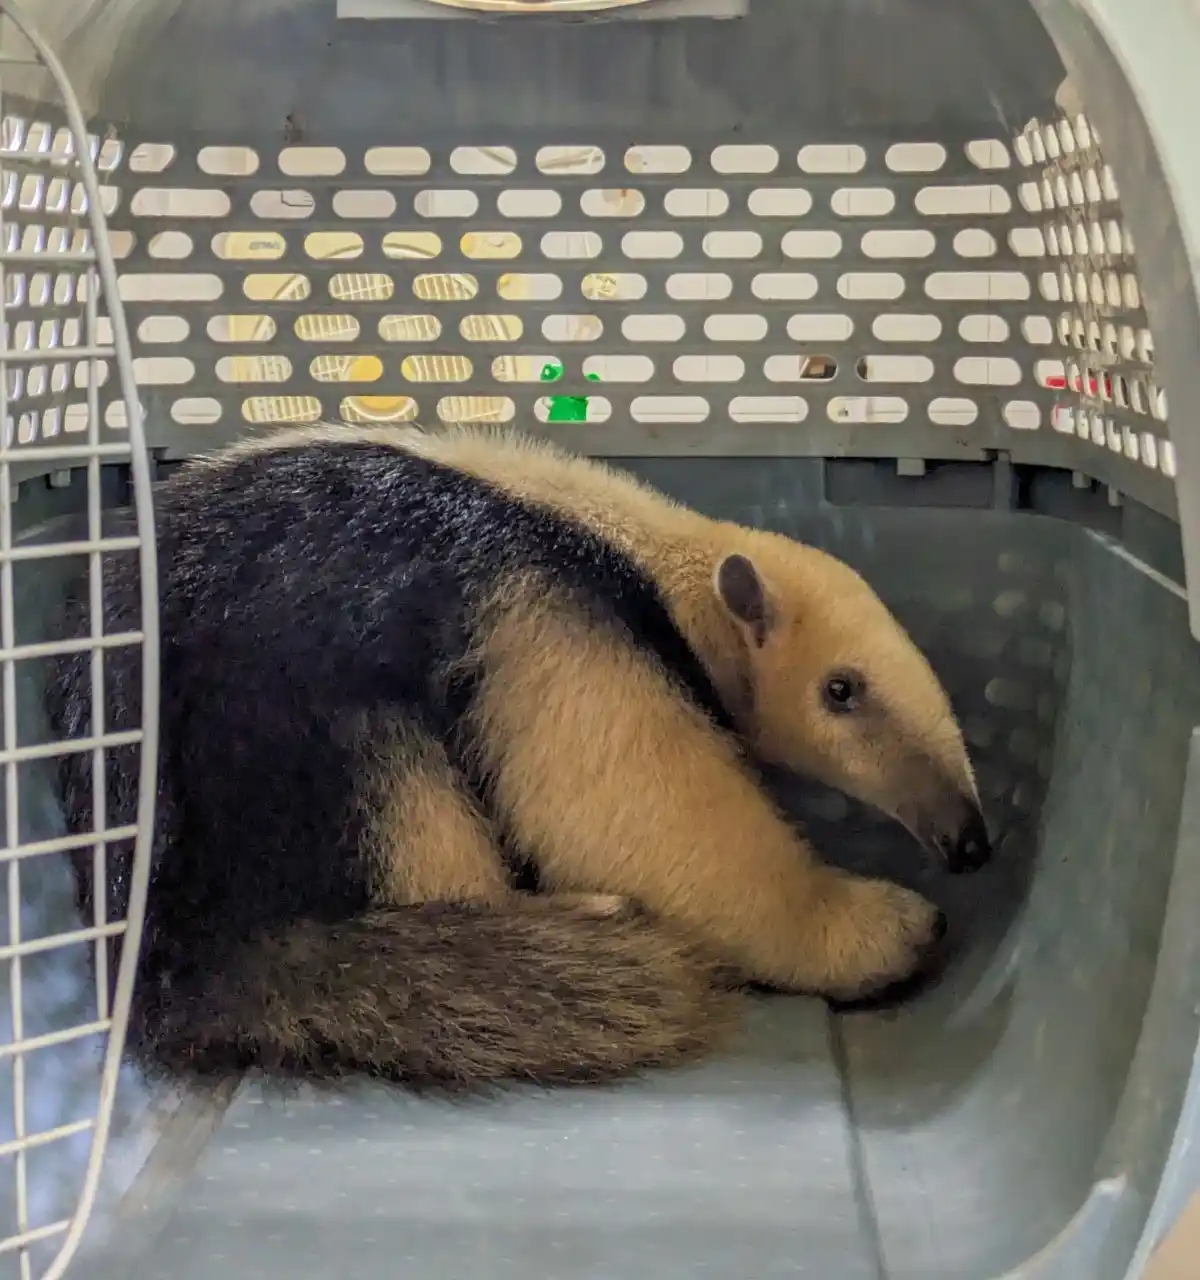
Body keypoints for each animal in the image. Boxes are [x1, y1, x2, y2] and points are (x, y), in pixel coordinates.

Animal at [46, 424, 991, 1092]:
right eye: (842, 690)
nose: (969, 844)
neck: (642, 554)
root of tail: (162, 964)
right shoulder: (541, 619)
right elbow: (640, 816)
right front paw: (890, 926)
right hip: (286, 746)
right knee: (405, 809)